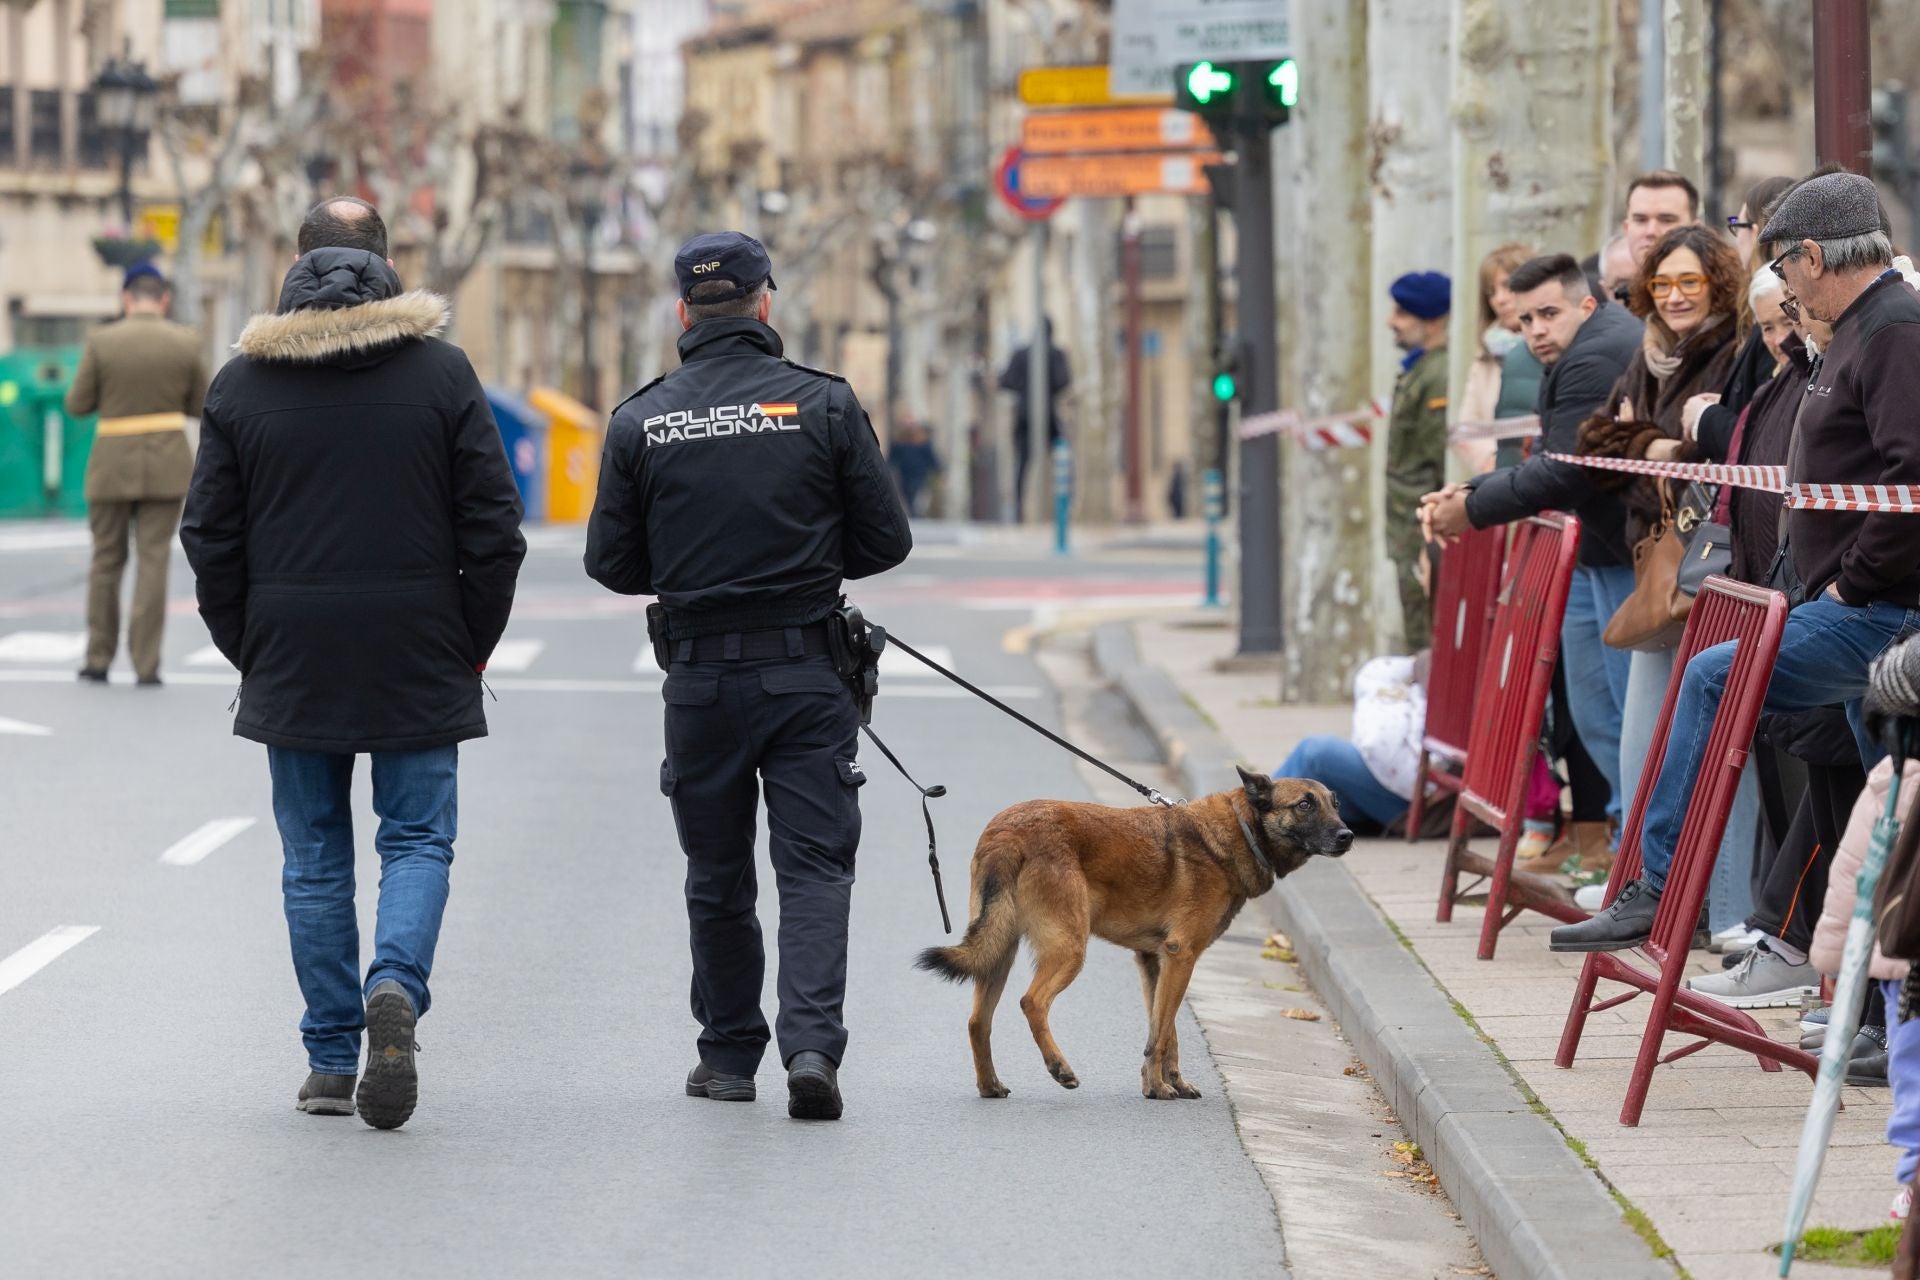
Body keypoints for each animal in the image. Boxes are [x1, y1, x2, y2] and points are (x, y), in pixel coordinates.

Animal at [917, 771, 1351, 1105]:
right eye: (1304, 804)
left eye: (1335, 803)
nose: (1348, 836)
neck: (1237, 831)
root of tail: (1008, 830)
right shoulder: (1181, 956)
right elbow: (1160, 1034)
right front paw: (1157, 1088)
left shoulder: (1157, 961)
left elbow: (1167, 1030)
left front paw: (1170, 1083)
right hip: (1069, 949)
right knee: (1032, 1003)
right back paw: (1059, 1068)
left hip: (998, 951)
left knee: (978, 1021)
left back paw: (989, 1086)